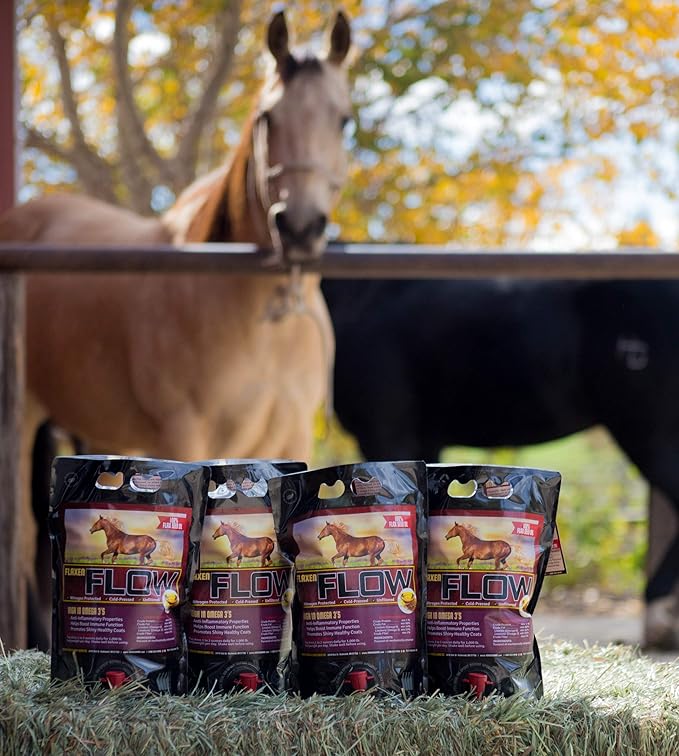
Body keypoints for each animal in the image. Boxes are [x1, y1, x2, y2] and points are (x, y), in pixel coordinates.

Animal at [0, 10, 352, 649]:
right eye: (268, 118)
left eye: (343, 119)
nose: (299, 227)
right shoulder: (187, 433)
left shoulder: (292, 436)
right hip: (21, 419)